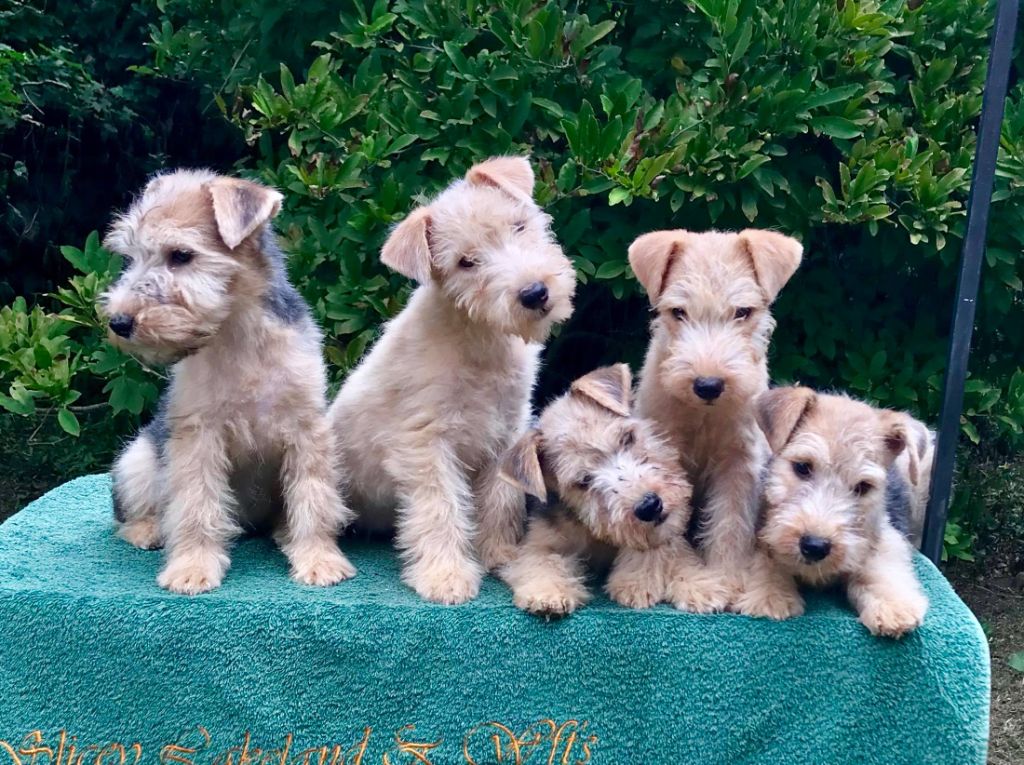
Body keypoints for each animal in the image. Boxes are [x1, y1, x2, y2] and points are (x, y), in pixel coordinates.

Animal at [101, 171, 354, 593]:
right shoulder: (198, 435)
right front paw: (192, 567)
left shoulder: (306, 430)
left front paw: (320, 560)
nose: (119, 323)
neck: (237, 333)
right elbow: (197, 506)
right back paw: (148, 531)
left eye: (181, 255)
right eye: (130, 256)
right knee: (133, 514)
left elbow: (313, 499)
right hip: (137, 462)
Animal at [325, 156, 577, 606]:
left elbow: (500, 500)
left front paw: (499, 553)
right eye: (465, 262)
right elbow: (440, 507)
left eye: (518, 226)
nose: (534, 293)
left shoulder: (506, 432)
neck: (480, 338)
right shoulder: (426, 443)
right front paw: (446, 577)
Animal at [626, 227, 802, 614]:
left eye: (743, 312)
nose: (708, 385)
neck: (702, 415)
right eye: (678, 311)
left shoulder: (738, 463)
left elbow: (730, 523)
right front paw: (650, 579)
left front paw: (726, 579)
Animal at [749, 385, 933, 639]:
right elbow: (766, 557)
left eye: (863, 486)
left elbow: (879, 568)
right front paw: (772, 596)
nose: (815, 547)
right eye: (802, 467)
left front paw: (893, 607)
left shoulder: (884, 536)